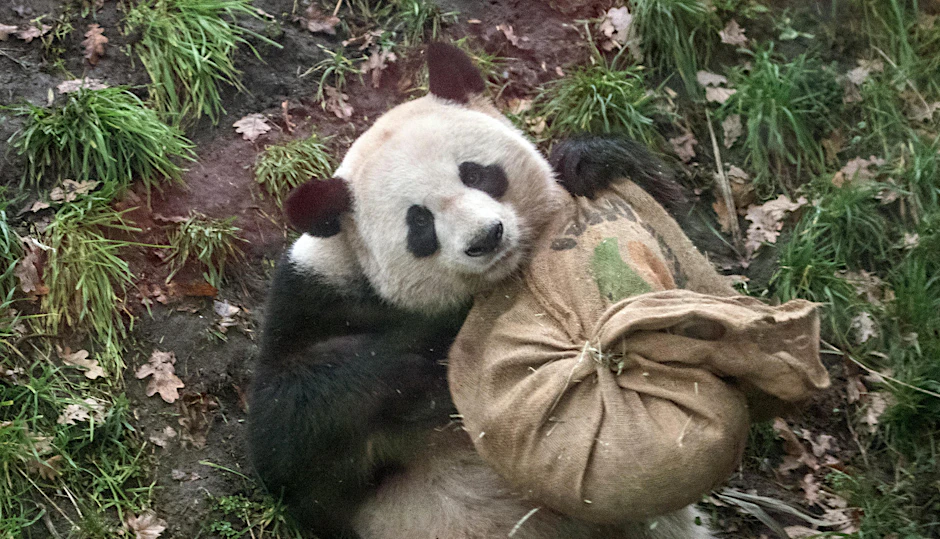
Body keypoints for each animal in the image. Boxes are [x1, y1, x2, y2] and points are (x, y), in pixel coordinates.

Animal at [247, 43, 714, 539]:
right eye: (419, 222)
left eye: (476, 173)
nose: (486, 238)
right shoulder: (311, 299)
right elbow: (288, 445)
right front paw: (419, 352)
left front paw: (589, 160)